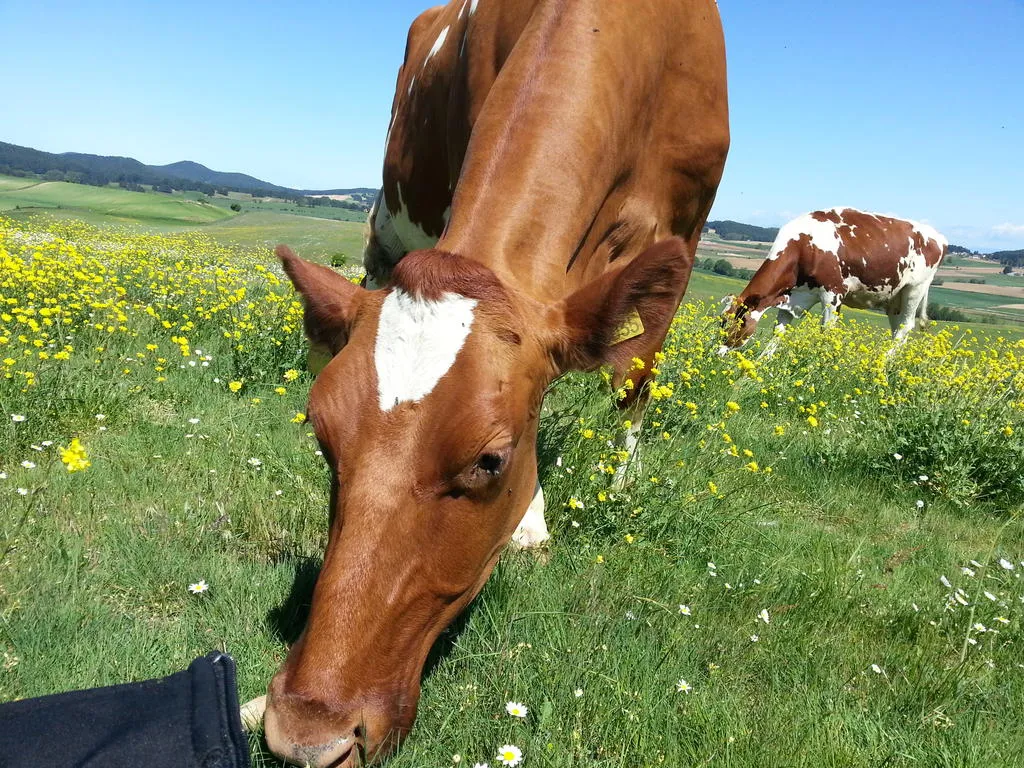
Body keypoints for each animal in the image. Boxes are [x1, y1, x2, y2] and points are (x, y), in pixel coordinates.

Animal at [256, 1, 729, 765]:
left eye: (490, 461)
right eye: (324, 440)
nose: (305, 734)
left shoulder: (686, 233)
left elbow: (634, 381)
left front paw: (616, 482)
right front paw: (533, 519)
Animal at [720, 208, 948, 353]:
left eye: (737, 323)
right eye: (721, 321)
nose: (718, 352)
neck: (804, 246)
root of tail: (938, 237)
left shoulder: (834, 292)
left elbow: (826, 331)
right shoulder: (792, 296)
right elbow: (779, 332)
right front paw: (760, 366)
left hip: (915, 289)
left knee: (905, 327)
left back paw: (883, 363)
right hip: (894, 298)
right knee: (897, 329)